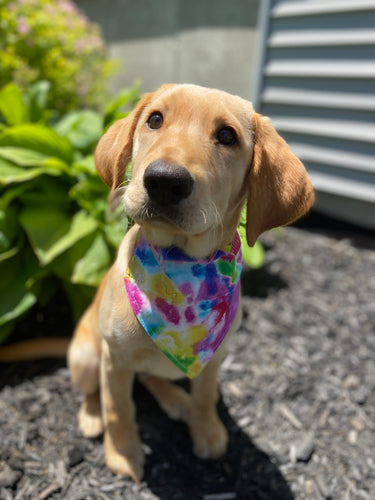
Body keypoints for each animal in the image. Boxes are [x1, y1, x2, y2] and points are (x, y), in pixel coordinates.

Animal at [67, 84, 314, 482]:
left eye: (227, 136)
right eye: (154, 119)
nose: (164, 181)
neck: (181, 268)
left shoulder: (214, 359)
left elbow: (205, 396)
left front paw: (207, 430)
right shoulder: (114, 360)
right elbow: (118, 408)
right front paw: (122, 453)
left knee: (151, 377)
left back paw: (174, 399)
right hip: (87, 357)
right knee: (95, 391)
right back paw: (92, 416)